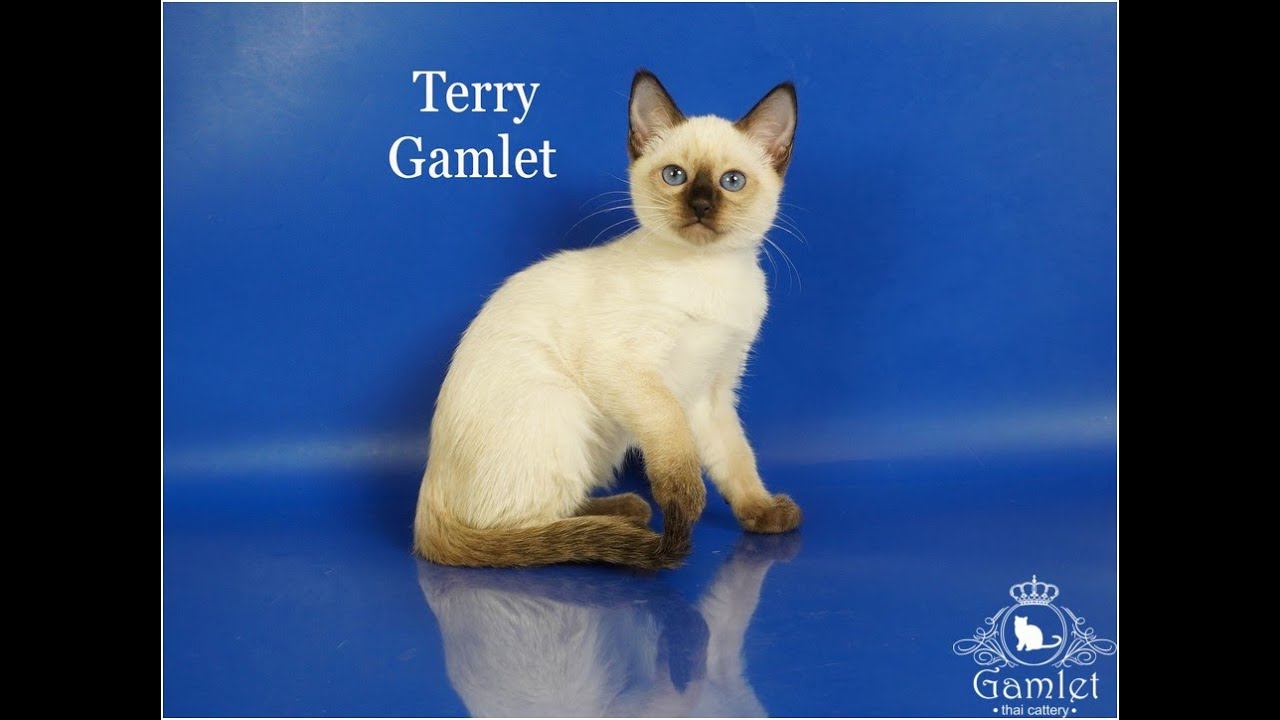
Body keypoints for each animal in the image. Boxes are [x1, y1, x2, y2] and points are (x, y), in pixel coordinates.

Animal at [414, 69, 802, 569]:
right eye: (675, 176)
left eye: (731, 181)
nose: (699, 205)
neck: (708, 273)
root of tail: (426, 499)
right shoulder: (631, 373)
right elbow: (677, 452)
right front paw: (684, 503)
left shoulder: (712, 390)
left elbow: (735, 459)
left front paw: (762, 512)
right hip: (566, 407)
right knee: (521, 530)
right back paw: (624, 523)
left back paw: (626, 513)